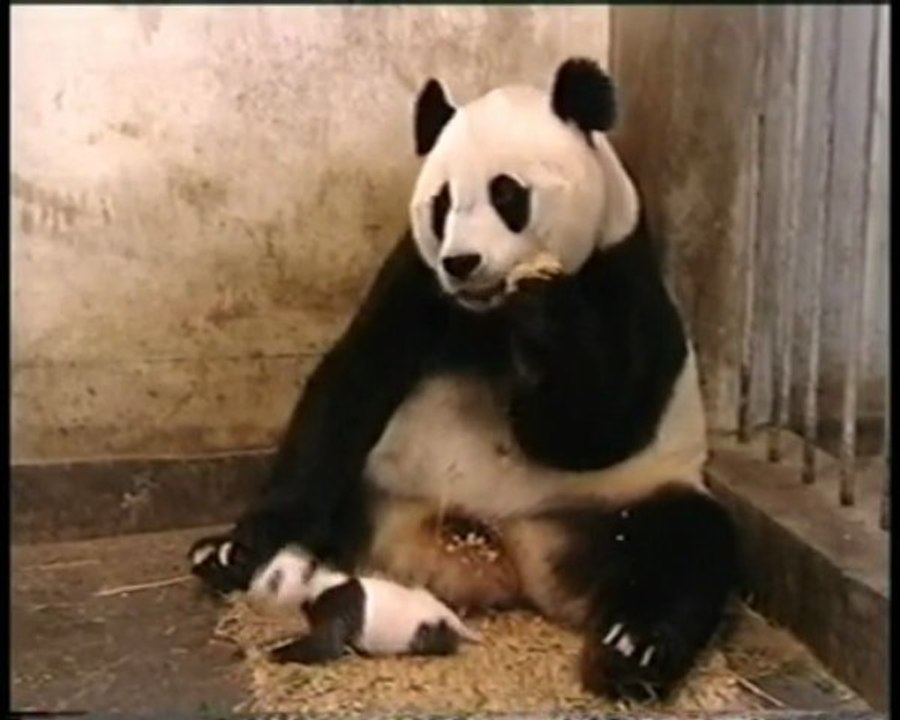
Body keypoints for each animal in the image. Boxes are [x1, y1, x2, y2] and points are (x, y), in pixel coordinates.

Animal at [189, 57, 739, 702]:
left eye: (507, 194)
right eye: (442, 202)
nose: (462, 262)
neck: (489, 314)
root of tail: (498, 558)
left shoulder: (622, 277)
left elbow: (596, 430)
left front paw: (544, 318)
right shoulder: (416, 280)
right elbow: (351, 385)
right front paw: (244, 545)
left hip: (616, 504)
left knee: (686, 545)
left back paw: (631, 650)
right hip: (381, 487)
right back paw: (223, 558)